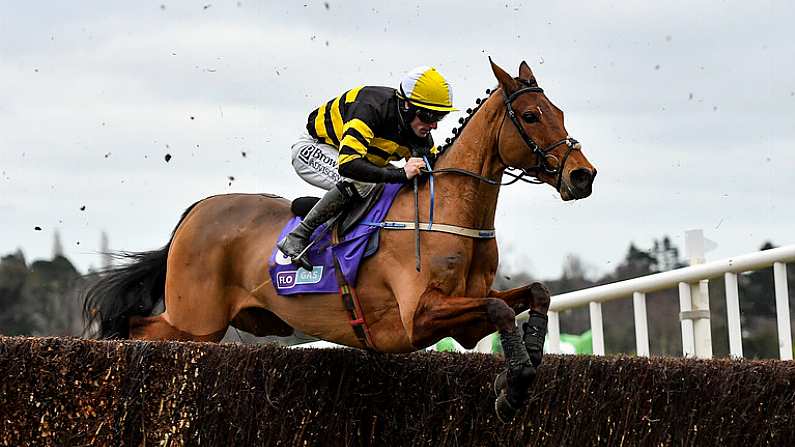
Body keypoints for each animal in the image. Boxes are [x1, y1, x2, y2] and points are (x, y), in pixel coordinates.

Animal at [85, 60, 596, 424]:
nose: (583, 175)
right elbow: (500, 308)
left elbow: (533, 295)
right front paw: (514, 386)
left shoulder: (465, 317)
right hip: (195, 321)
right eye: (530, 115)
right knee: (135, 328)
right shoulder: (418, 317)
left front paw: (528, 362)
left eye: (560, 113)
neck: (445, 212)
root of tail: (195, 212)